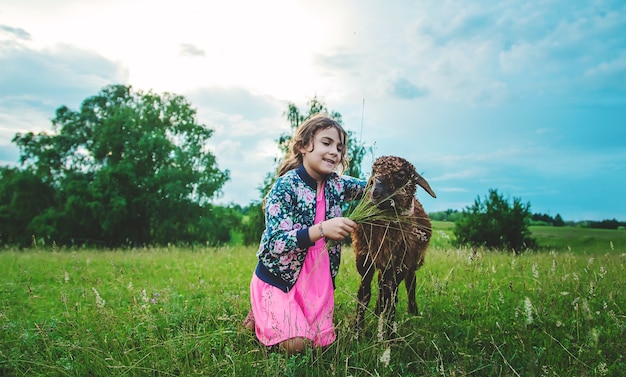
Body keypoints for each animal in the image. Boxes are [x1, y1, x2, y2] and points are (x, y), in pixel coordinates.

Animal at [352, 155, 434, 338]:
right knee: (383, 288)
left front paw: (389, 335)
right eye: (374, 171)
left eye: (401, 174)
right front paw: (357, 332)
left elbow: (391, 299)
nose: (375, 192)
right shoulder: (365, 259)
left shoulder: (399, 264)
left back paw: (412, 311)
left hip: (409, 263)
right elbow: (364, 294)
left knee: (409, 285)